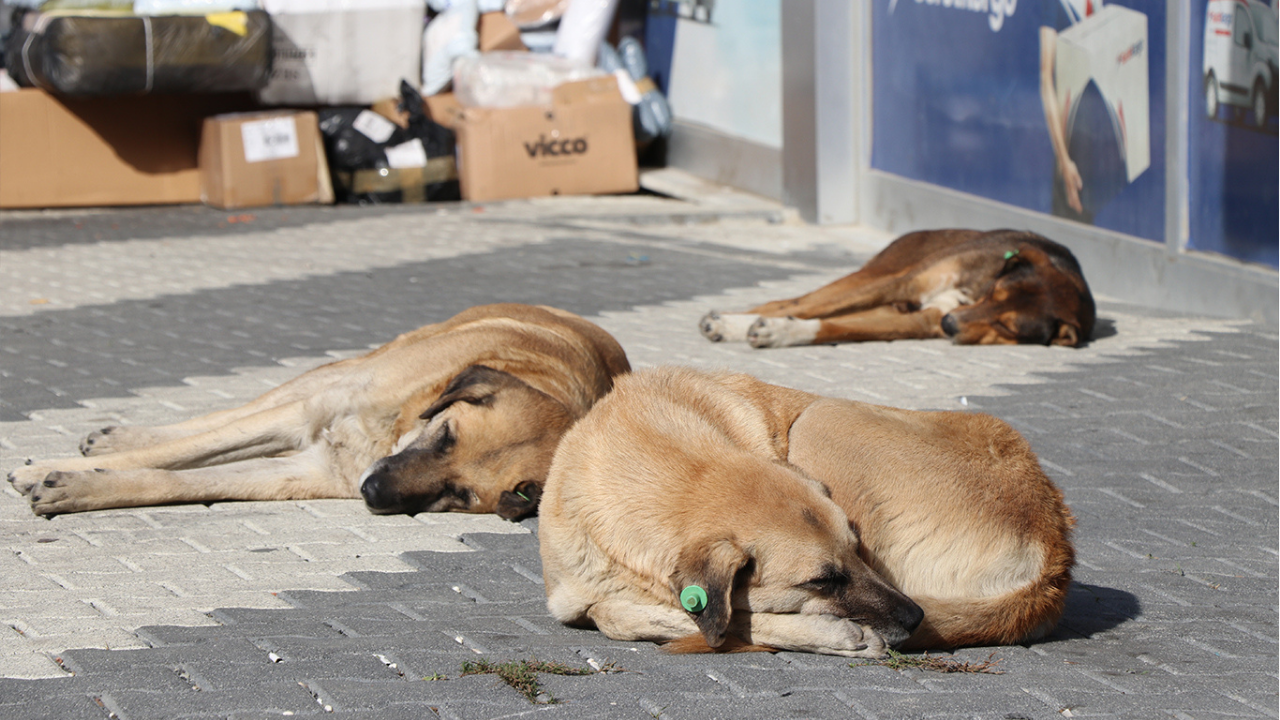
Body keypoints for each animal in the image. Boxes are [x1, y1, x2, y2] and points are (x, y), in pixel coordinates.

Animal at [8, 301, 629, 515]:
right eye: (445, 435)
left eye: (460, 494)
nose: (372, 492)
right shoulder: (312, 411)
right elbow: (183, 451)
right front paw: (55, 469)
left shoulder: (306, 471)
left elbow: (174, 480)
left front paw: (80, 486)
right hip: (331, 377)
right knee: (222, 418)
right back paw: (115, 439)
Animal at [535, 366, 1075, 653]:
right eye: (822, 580)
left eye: (859, 550)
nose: (914, 616)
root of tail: (1054, 549)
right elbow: (621, 612)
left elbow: (704, 617)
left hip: (819, 418)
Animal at [706, 225, 1095, 345]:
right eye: (993, 292)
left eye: (1008, 327)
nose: (949, 324)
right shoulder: (902, 284)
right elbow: (805, 308)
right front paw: (740, 324)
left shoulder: (919, 319)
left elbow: (835, 327)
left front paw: (782, 333)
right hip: (876, 276)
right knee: (793, 301)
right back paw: (730, 320)